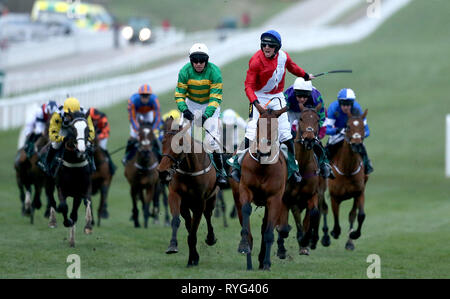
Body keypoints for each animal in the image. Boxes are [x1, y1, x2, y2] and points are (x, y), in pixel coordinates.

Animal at [48, 111, 94, 247]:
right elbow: (63, 206)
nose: (82, 150)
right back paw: (53, 221)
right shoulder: (60, 187)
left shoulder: (79, 190)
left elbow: (74, 213)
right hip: (49, 183)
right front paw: (66, 221)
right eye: (72, 129)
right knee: (51, 200)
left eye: (87, 129)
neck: (73, 164)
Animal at [157, 117, 219, 268]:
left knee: (208, 215)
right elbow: (178, 221)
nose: (162, 173)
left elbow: (193, 231)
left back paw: (210, 238)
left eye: (179, 144)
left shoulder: (199, 202)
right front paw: (173, 246)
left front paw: (192, 259)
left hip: (211, 199)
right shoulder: (176, 196)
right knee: (189, 223)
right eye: (163, 141)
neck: (189, 170)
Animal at [237, 106, 290, 272]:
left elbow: (268, 232)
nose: (264, 151)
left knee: (265, 226)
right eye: (257, 124)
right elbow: (246, 214)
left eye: (275, 127)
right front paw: (244, 246)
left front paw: (266, 263)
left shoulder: (275, 199)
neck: (262, 167)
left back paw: (261, 261)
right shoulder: (244, 189)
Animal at [276, 103, 322, 258]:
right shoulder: (285, 198)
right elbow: (283, 226)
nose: (309, 138)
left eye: (317, 119)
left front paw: (305, 241)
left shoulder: (311, 195)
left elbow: (313, 214)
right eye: (301, 118)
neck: (300, 168)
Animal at [326, 108, 370, 251]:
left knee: (352, 214)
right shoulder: (334, 196)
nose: (356, 145)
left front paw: (354, 235)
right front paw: (334, 232)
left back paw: (350, 242)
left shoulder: (359, 192)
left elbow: (360, 215)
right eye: (348, 126)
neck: (347, 169)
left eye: (363, 127)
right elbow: (335, 215)